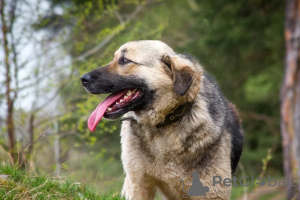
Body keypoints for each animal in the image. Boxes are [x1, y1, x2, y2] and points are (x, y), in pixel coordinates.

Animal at [81, 39, 243, 199]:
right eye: (113, 58)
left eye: (125, 60)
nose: (83, 79)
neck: (164, 122)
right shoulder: (138, 184)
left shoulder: (213, 191)